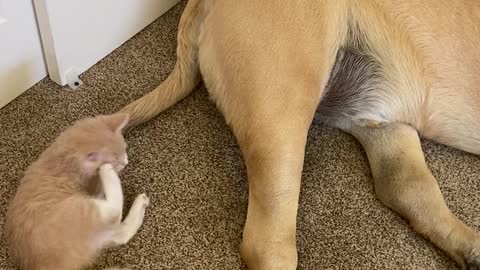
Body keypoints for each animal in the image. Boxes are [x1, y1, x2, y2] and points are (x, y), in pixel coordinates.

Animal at [5, 113, 148, 268]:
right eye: (117, 160)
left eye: (125, 150)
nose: (126, 162)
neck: (63, 162)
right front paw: (106, 169)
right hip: (85, 211)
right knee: (113, 212)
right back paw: (107, 172)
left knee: (119, 234)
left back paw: (141, 203)